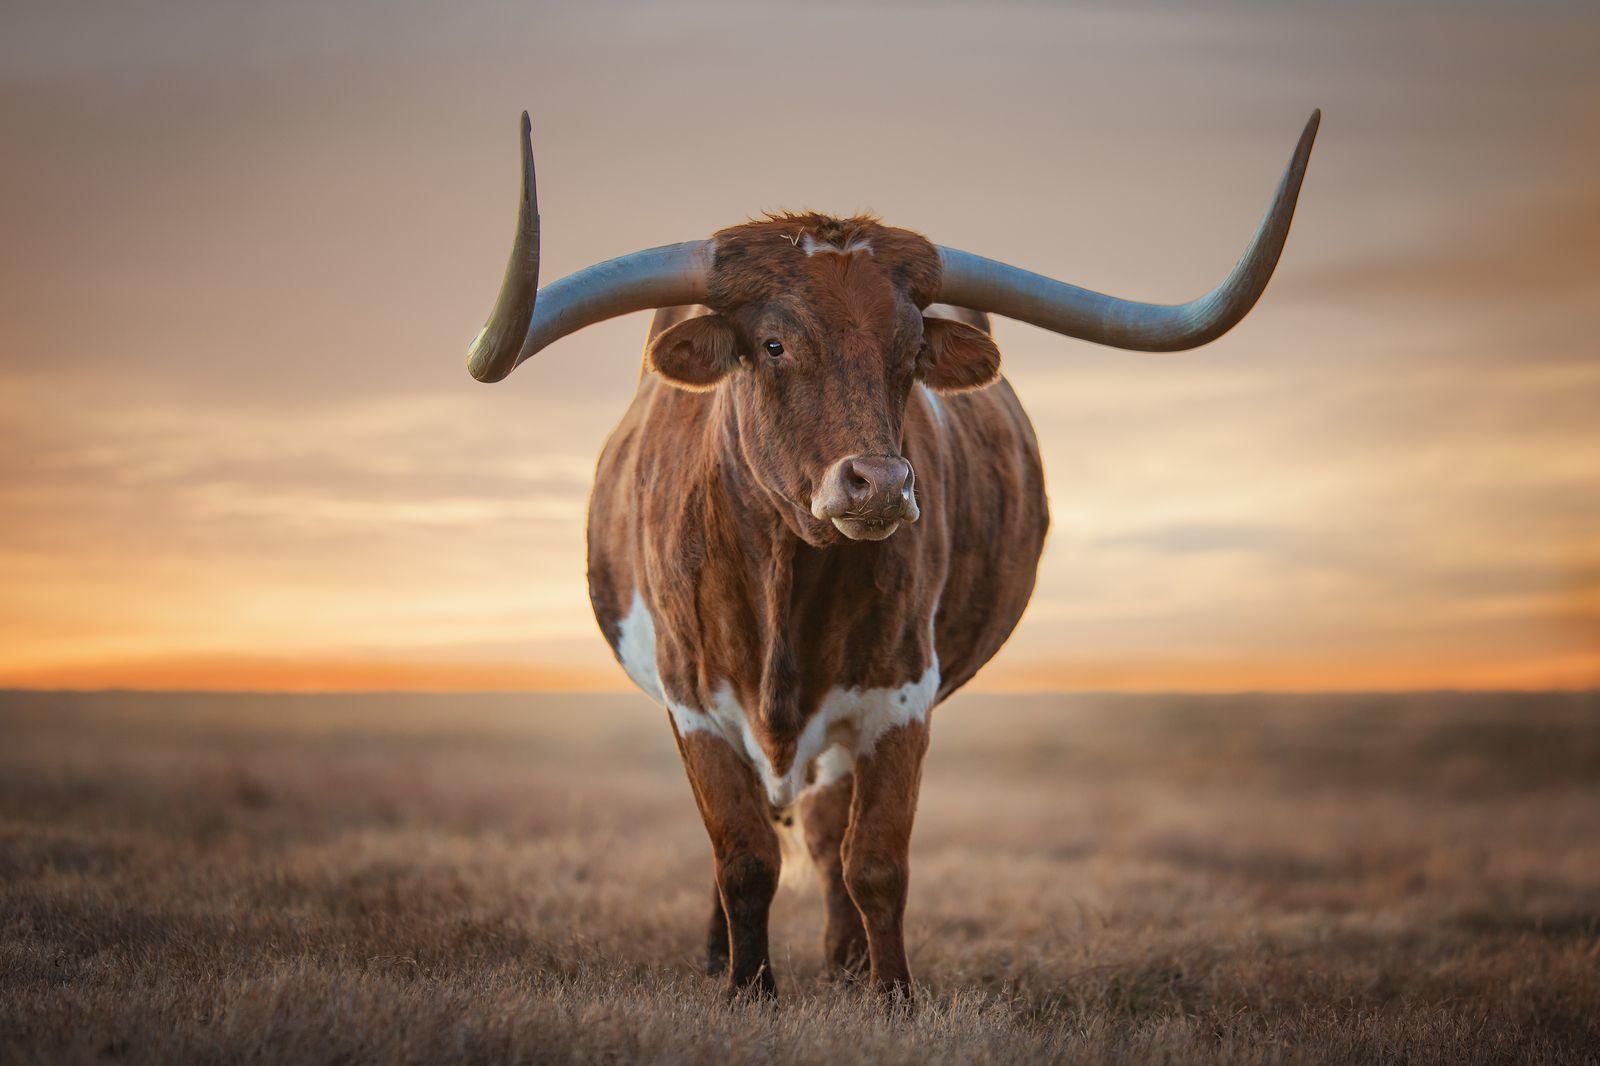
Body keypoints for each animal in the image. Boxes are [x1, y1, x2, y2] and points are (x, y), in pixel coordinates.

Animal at [460, 109, 1312, 998]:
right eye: (773, 343)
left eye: (909, 353)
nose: (879, 484)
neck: (783, 573)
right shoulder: (692, 701)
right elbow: (742, 858)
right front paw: (747, 986)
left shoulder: (898, 696)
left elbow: (874, 861)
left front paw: (889, 991)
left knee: (829, 832)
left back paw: (842, 961)